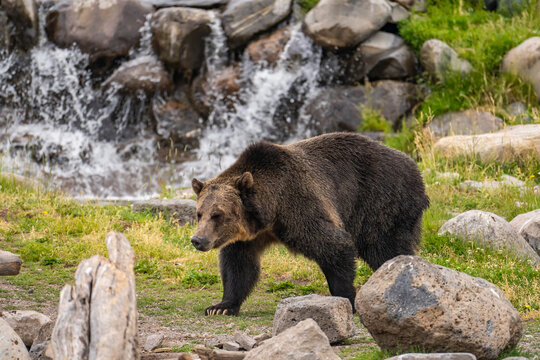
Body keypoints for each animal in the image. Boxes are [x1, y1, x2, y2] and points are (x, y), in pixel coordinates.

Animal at [192, 132, 428, 316]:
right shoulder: (250, 236)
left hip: (380, 201)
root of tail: (415, 168)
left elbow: (333, 245)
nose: (197, 239)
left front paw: (346, 298)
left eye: (217, 214)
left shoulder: (298, 207)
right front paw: (220, 306)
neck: (270, 212)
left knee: (384, 247)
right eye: (199, 213)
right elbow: (238, 265)